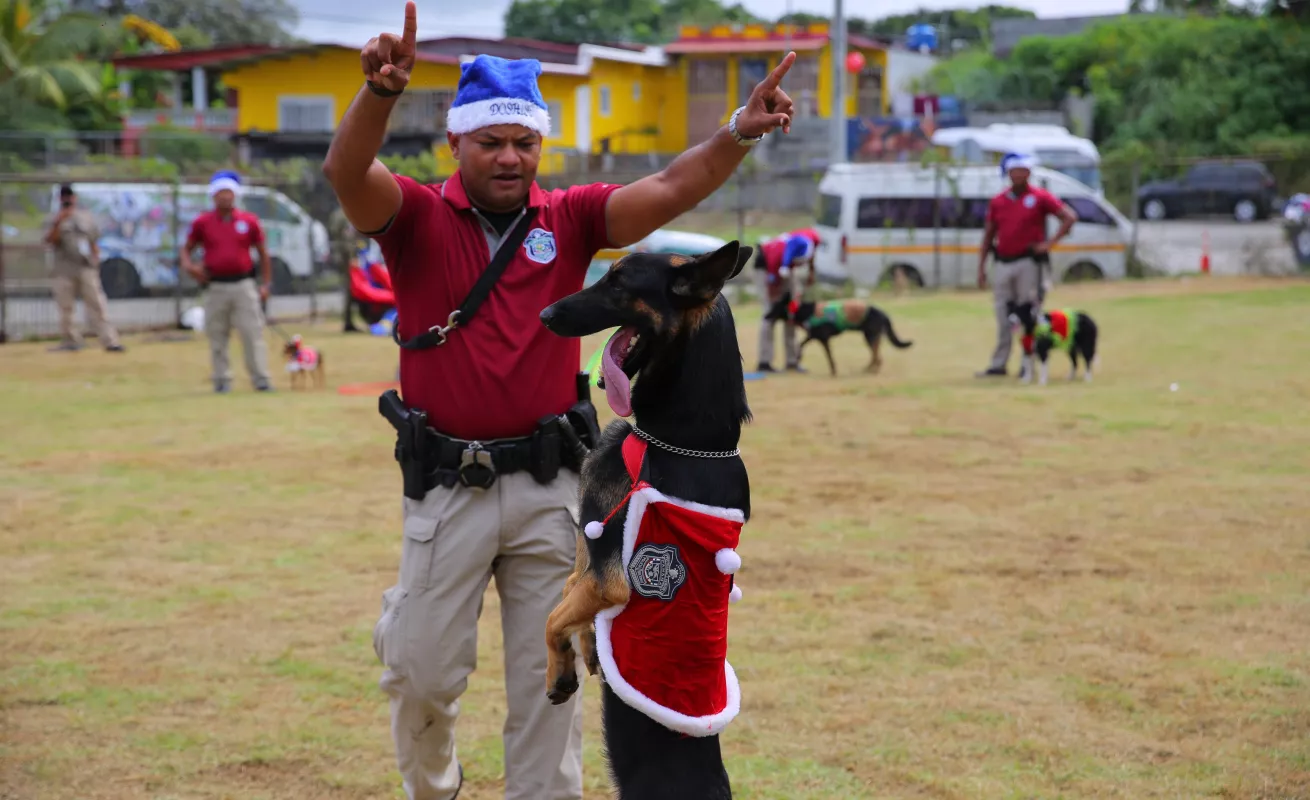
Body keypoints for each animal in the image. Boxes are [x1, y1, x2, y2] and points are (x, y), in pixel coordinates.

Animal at [765, 294, 916, 379]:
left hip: (870, 337)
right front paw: (798, 357)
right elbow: (801, 344)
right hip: (870, 337)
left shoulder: (823, 339)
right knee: (876, 356)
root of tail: (882, 312)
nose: (765, 316)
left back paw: (872, 370)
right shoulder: (814, 336)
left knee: (877, 357)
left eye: (775, 306)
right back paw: (868, 369)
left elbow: (828, 356)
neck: (803, 311)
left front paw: (833, 371)